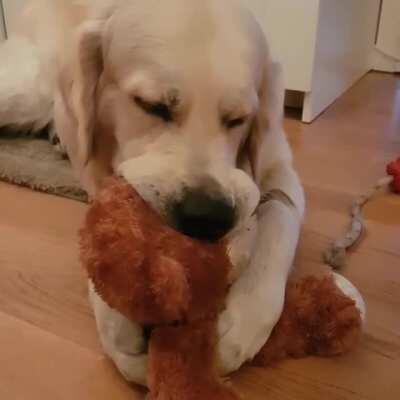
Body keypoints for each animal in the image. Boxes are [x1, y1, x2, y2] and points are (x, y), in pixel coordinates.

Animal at [0, 0, 364, 388]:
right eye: (152, 106)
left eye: (239, 119)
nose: (205, 216)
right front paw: (117, 324)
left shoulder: (279, 165)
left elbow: (279, 219)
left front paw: (244, 317)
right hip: (27, 90)